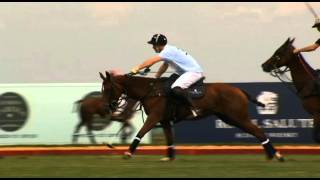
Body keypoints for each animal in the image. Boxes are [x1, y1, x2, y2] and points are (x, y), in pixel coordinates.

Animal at [99, 70, 284, 162]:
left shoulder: (155, 117)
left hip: (238, 116)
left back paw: (277, 156)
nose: (108, 107)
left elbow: (140, 133)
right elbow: (169, 139)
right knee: (255, 131)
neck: (151, 91)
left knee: (258, 131)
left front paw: (128, 153)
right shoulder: (164, 120)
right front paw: (169, 157)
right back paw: (270, 155)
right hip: (231, 118)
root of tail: (240, 90)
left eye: (109, 89)